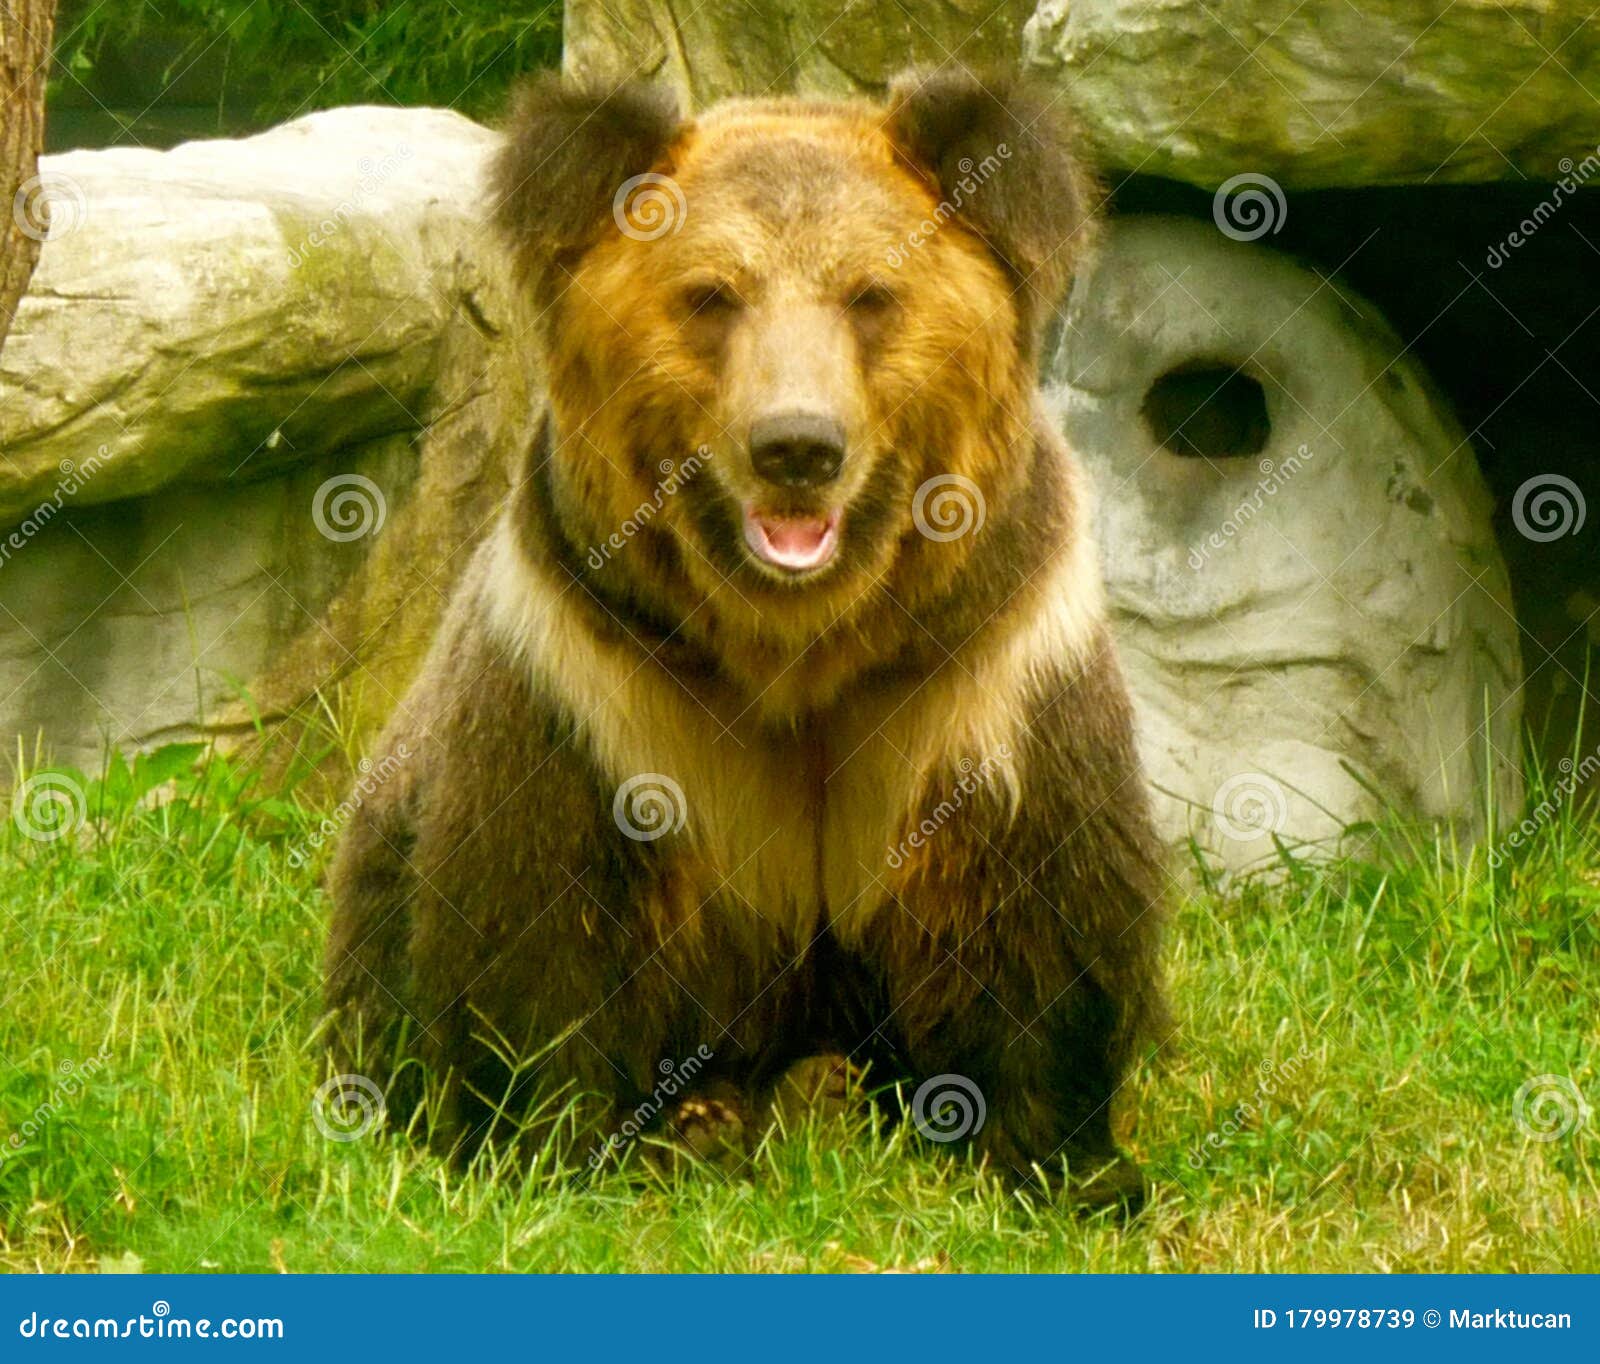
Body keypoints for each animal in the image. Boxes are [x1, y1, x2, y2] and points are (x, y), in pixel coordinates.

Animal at [324, 66, 1171, 1203]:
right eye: (712, 296)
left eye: (870, 294)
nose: (797, 446)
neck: (795, 636)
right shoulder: (594, 665)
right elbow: (537, 913)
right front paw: (545, 1142)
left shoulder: (984, 656)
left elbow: (1031, 905)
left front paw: (1066, 1162)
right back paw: (706, 1117)